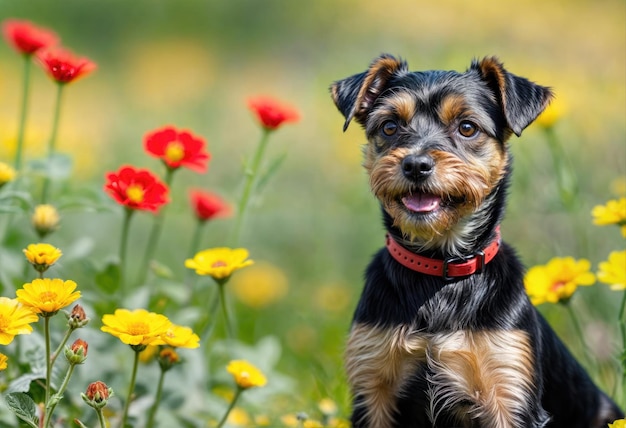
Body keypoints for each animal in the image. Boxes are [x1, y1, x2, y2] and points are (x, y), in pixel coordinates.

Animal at [330, 55, 620, 426]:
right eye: (389, 127)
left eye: (467, 128)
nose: (416, 164)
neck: (441, 268)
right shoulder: (372, 388)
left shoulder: (509, 388)